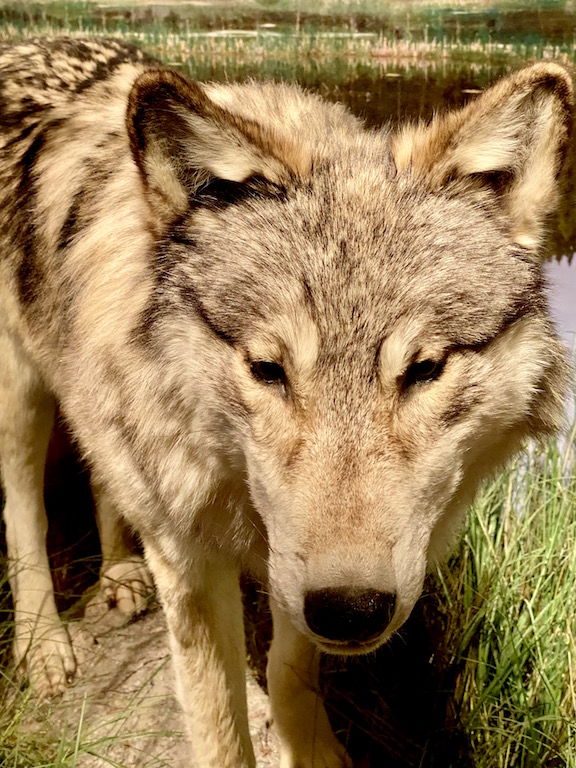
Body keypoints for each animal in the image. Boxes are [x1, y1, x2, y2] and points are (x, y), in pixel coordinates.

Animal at [0, 37, 572, 768]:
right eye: (267, 369)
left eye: (425, 369)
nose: (352, 611)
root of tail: (29, 44)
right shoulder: (192, 564)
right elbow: (220, 729)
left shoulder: (292, 562)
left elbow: (290, 666)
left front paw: (314, 746)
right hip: (20, 394)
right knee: (24, 512)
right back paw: (44, 646)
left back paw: (120, 574)